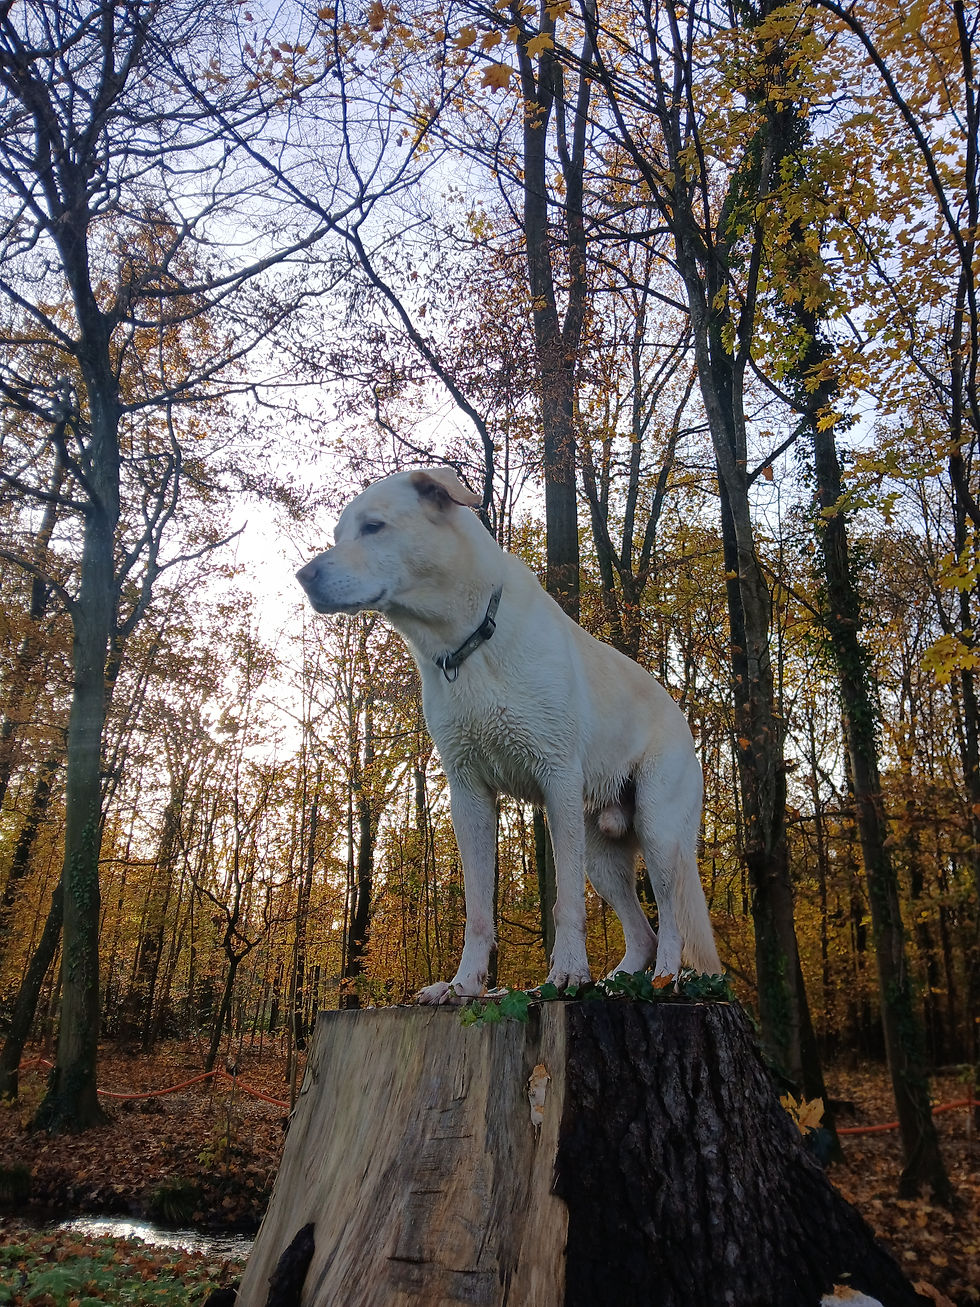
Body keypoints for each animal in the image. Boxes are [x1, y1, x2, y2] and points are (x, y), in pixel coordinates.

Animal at [296, 466, 721, 1002]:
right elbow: (478, 910)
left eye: (373, 527)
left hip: (658, 832)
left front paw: (566, 975)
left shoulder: (557, 779)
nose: (304, 576)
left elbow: (565, 904)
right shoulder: (468, 793)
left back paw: (663, 978)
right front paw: (463, 986)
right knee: (641, 930)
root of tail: (681, 715)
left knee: (669, 919)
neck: (468, 642)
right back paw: (618, 983)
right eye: (338, 536)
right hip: (601, 857)